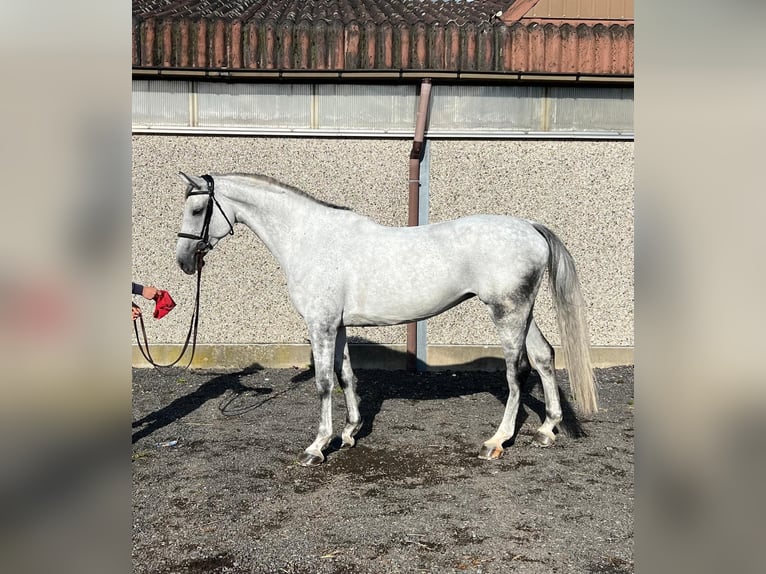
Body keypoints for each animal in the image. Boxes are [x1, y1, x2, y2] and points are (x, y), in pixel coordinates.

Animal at [176, 172, 600, 468]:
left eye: (197, 210)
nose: (184, 262)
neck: (310, 238)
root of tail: (530, 227)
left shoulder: (321, 325)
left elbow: (324, 383)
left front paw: (317, 447)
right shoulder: (338, 326)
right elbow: (347, 376)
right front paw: (349, 433)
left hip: (507, 313)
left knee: (517, 372)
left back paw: (495, 442)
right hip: (522, 313)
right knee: (544, 357)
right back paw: (547, 429)